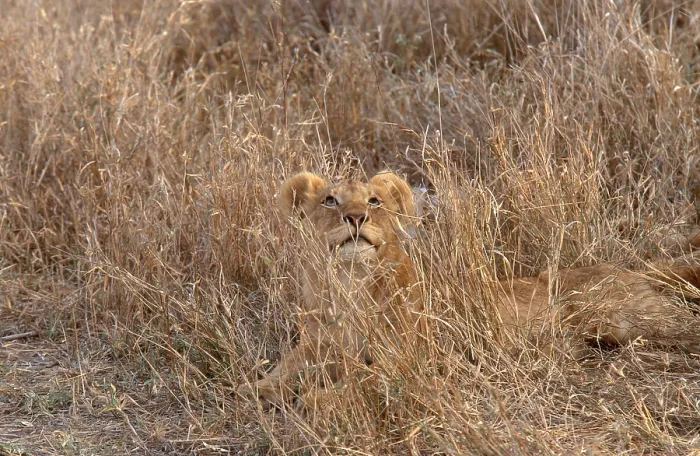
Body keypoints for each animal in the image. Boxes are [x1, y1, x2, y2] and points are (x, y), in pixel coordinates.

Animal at [238, 171, 700, 408]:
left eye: (374, 201)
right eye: (330, 201)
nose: (354, 218)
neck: (350, 285)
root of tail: (629, 267)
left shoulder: (410, 361)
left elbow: (363, 380)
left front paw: (314, 400)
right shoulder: (320, 343)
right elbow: (289, 364)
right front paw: (259, 388)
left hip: (626, 318)